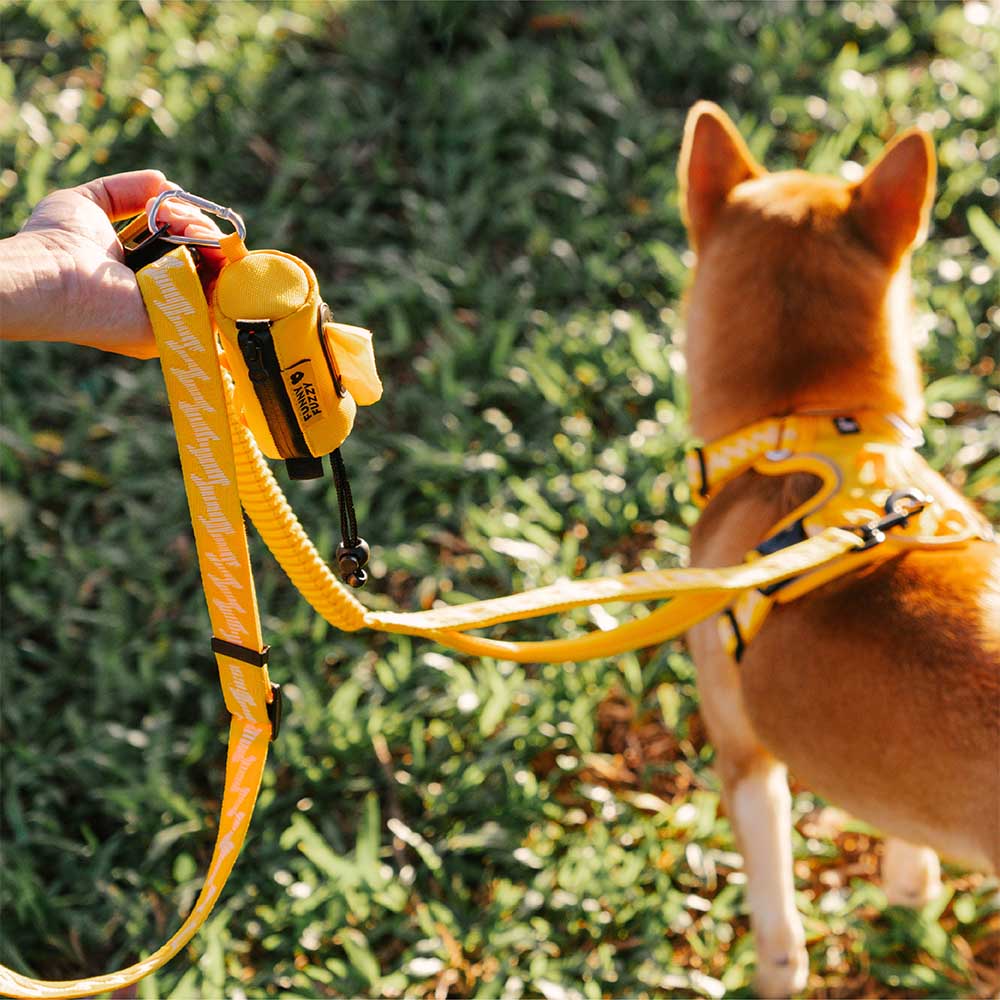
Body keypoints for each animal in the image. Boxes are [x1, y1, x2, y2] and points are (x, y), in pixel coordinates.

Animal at [676, 103, 996, 1000]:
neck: (808, 421)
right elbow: (907, 829)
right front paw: (911, 888)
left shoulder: (746, 760)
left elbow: (777, 918)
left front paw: (777, 973)